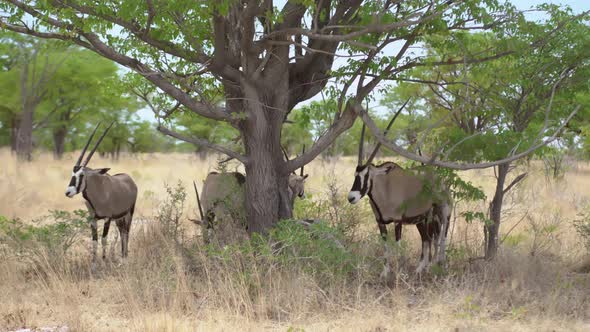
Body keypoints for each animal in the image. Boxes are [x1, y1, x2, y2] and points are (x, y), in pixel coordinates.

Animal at [65, 123, 139, 264]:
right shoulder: (93, 219)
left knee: (126, 232)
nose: (68, 192)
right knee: (122, 232)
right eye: (72, 174)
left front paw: (104, 261)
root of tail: (129, 179)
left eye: (81, 175)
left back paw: (125, 256)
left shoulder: (107, 218)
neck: (97, 194)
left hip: (129, 214)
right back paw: (123, 255)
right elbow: (94, 241)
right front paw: (94, 262)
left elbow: (104, 239)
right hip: (119, 218)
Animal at [346, 122, 454, 272]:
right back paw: (422, 268)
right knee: (427, 239)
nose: (351, 197)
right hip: (423, 220)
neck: (385, 188)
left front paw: (398, 271)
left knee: (442, 237)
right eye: (355, 175)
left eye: (367, 176)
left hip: (444, 212)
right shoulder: (380, 222)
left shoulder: (398, 221)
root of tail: (440, 180)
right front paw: (385, 272)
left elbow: (398, 246)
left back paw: (440, 265)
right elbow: (385, 247)